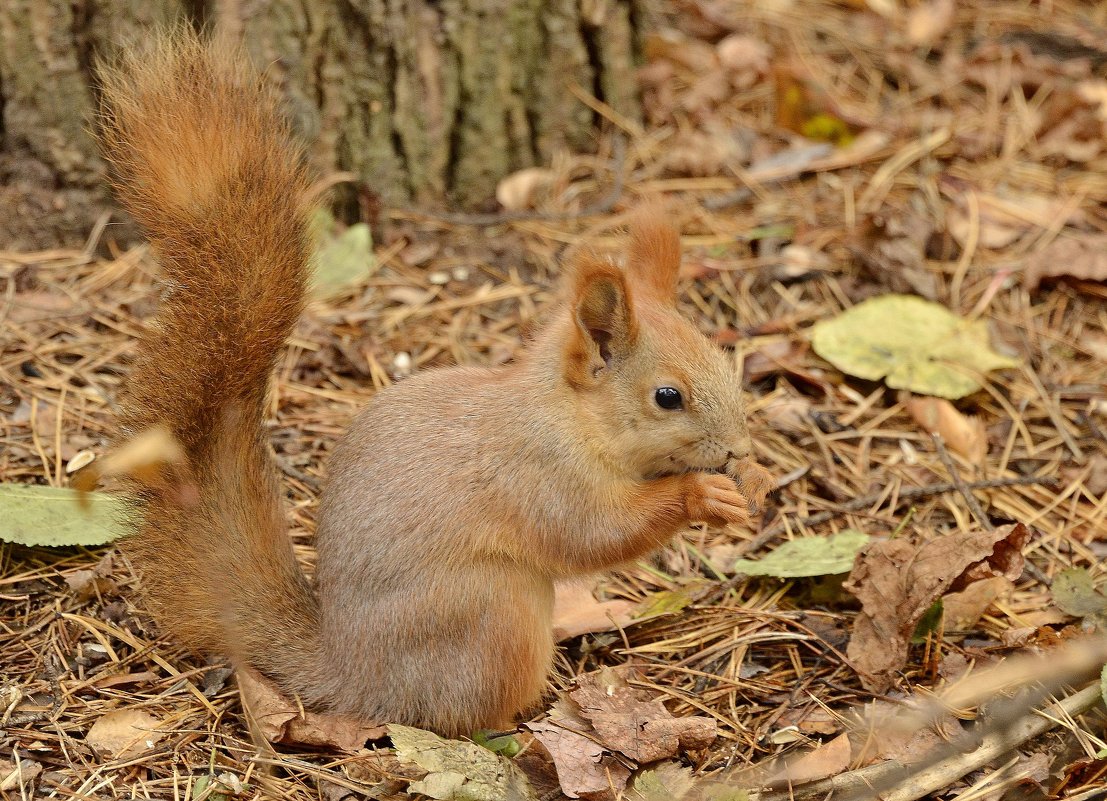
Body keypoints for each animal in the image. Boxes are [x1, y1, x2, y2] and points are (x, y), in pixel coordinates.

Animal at [92, 29, 770, 739]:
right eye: (668, 397)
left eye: (724, 361)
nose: (739, 449)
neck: (569, 418)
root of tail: (356, 675)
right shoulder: (539, 477)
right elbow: (593, 535)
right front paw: (700, 494)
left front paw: (754, 481)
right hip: (492, 615)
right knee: (460, 710)